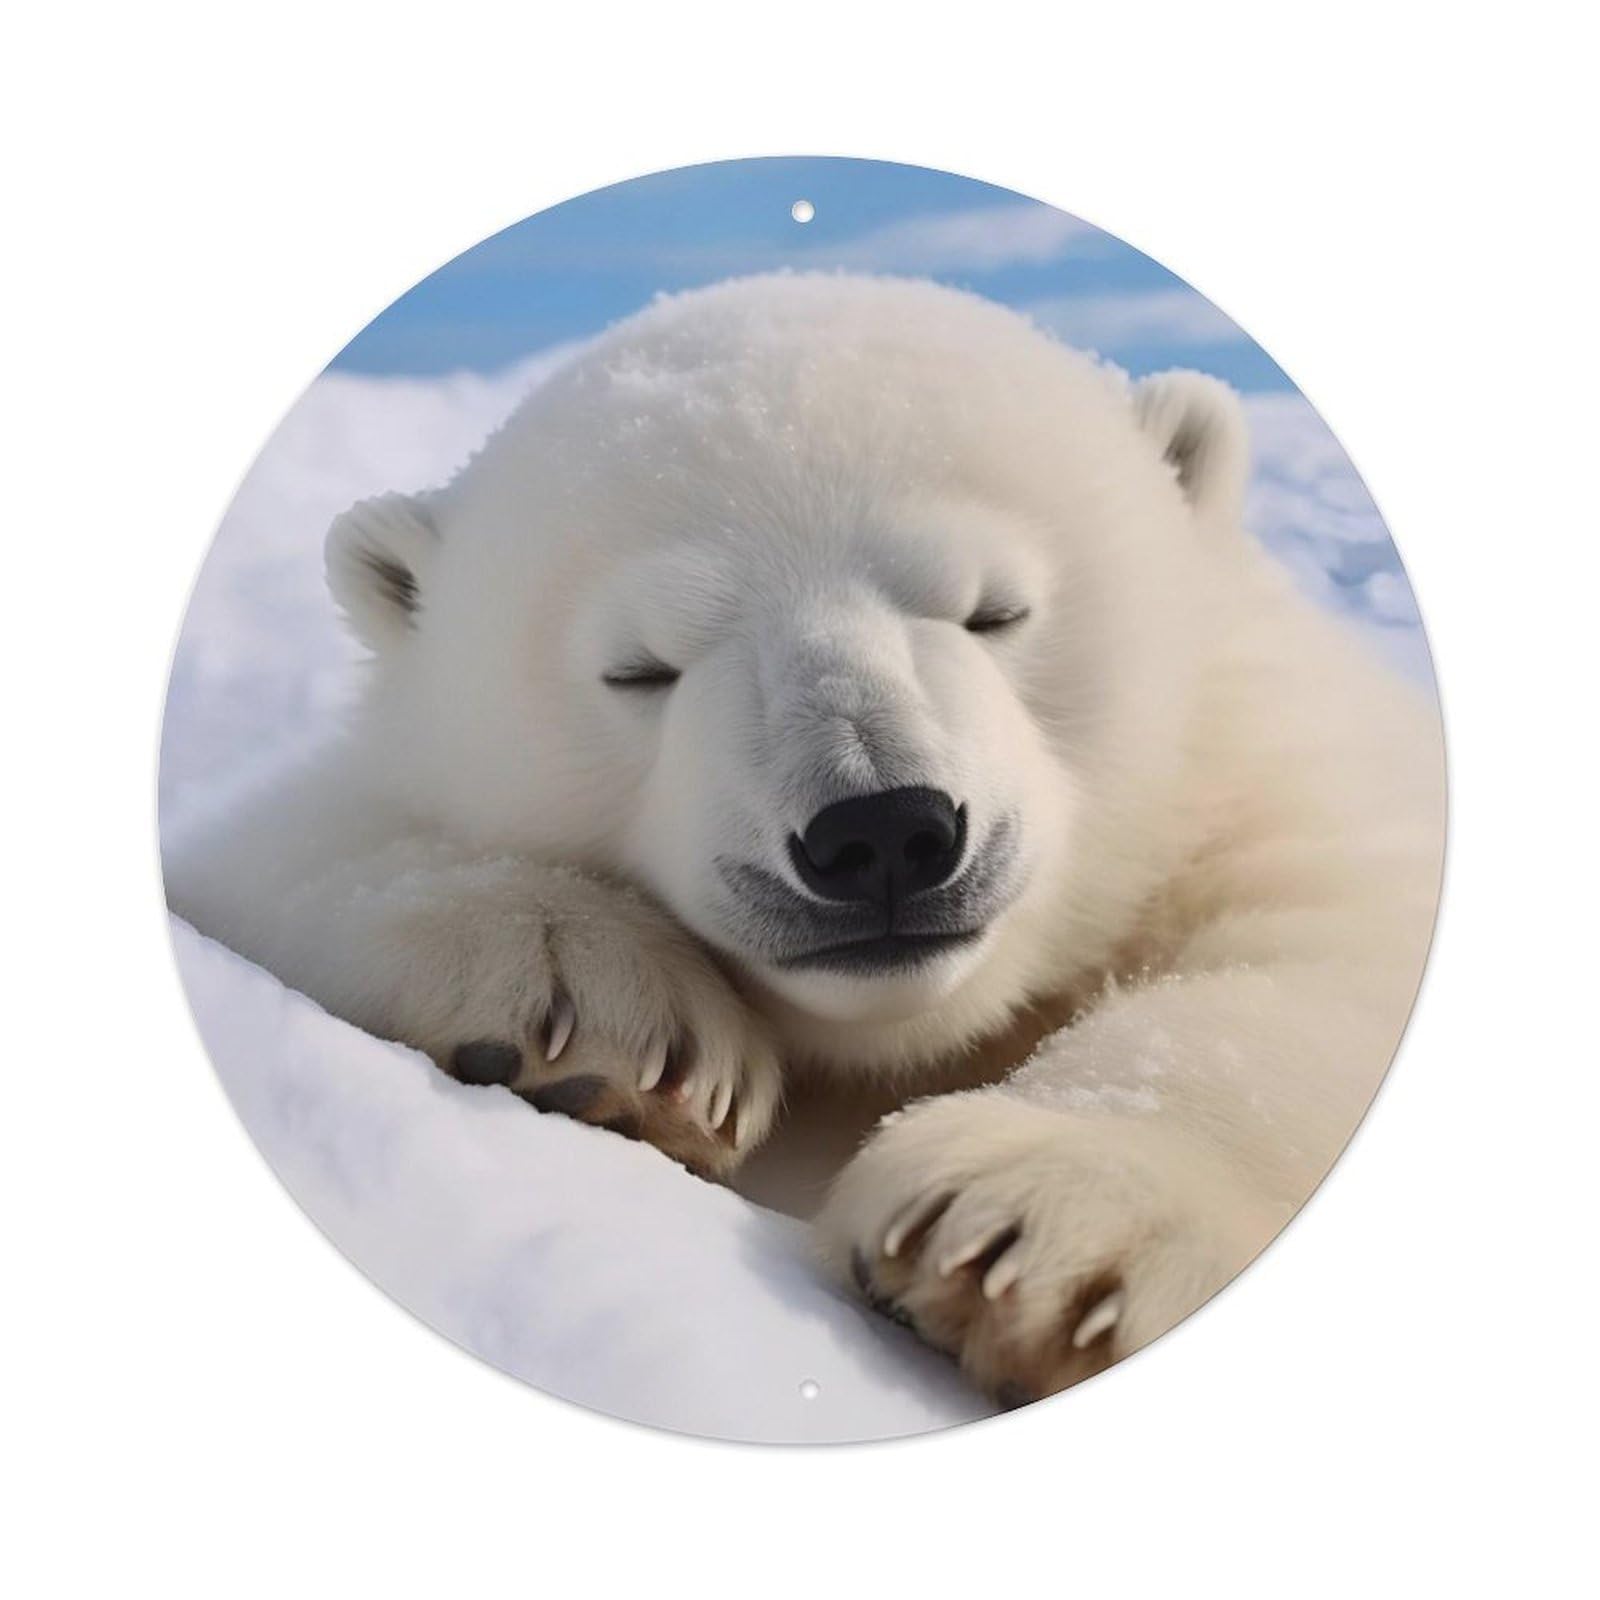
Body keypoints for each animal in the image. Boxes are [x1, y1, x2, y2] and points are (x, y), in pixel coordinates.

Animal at [165, 272, 1445, 1406]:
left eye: (996, 611)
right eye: (641, 668)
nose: (878, 830)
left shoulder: (1278, 771)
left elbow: (1319, 956)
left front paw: (1027, 1224)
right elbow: (278, 858)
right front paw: (593, 1013)